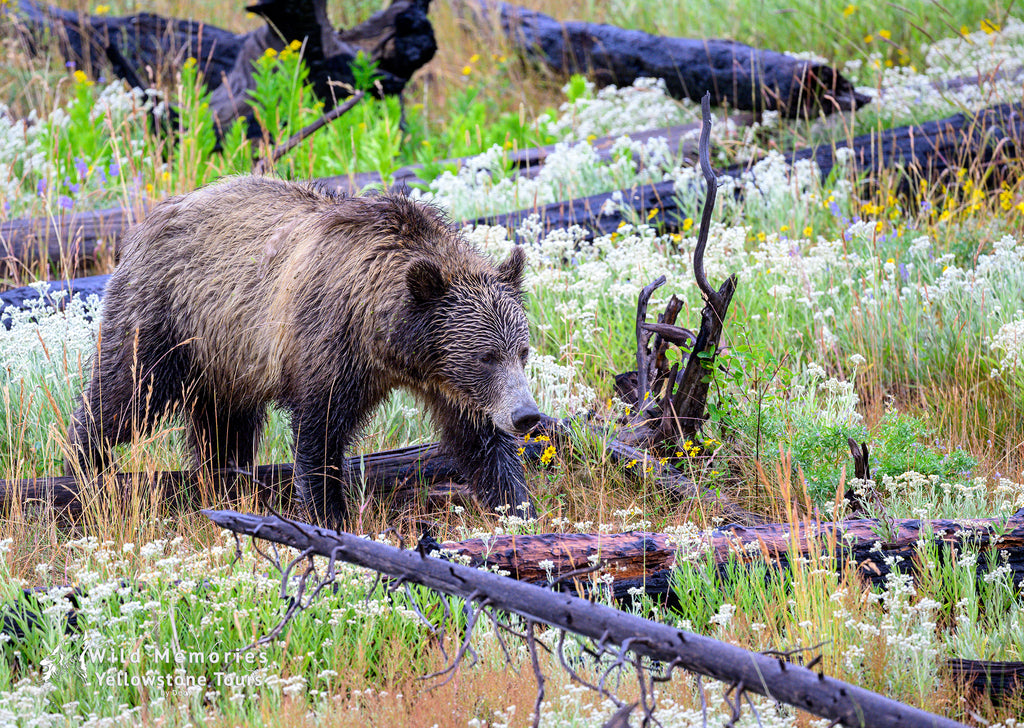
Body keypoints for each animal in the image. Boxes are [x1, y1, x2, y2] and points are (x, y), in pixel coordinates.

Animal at [67, 179, 540, 528]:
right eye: (485, 356)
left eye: (522, 351)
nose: (527, 415)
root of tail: (148, 221)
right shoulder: (328, 341)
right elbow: (320, 434)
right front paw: (330, 515)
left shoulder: (448, 381)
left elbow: (480, 440)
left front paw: (518, 508)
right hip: (167, 318)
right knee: (125, 394)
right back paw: (85, 466)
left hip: (226, 356)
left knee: (223, 427)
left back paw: (225, 487)